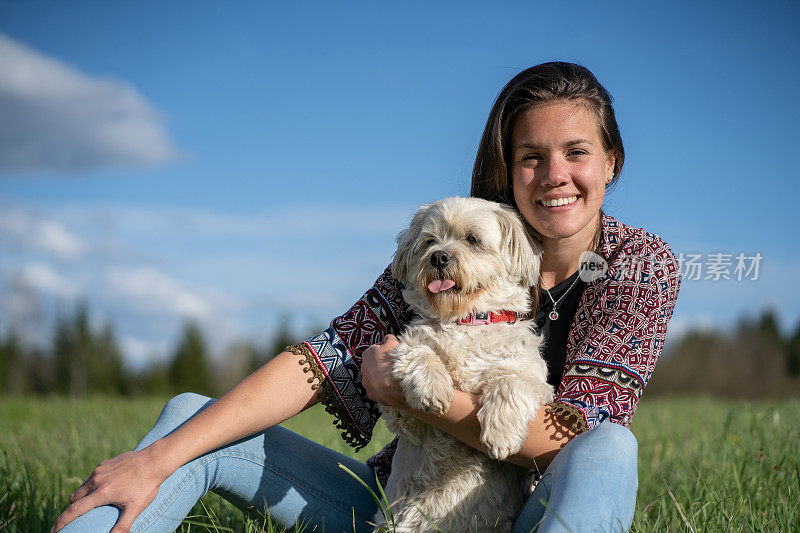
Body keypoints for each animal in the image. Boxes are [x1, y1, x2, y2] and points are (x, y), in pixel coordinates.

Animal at [376, 196, 556, 532]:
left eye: (472, 239)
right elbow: (421, 352)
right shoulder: (403, 414)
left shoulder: (536, 381)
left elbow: (511, 382)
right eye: (429, 242)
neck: (465, 320)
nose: (439, 256)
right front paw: (432, 389)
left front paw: (501, 435)